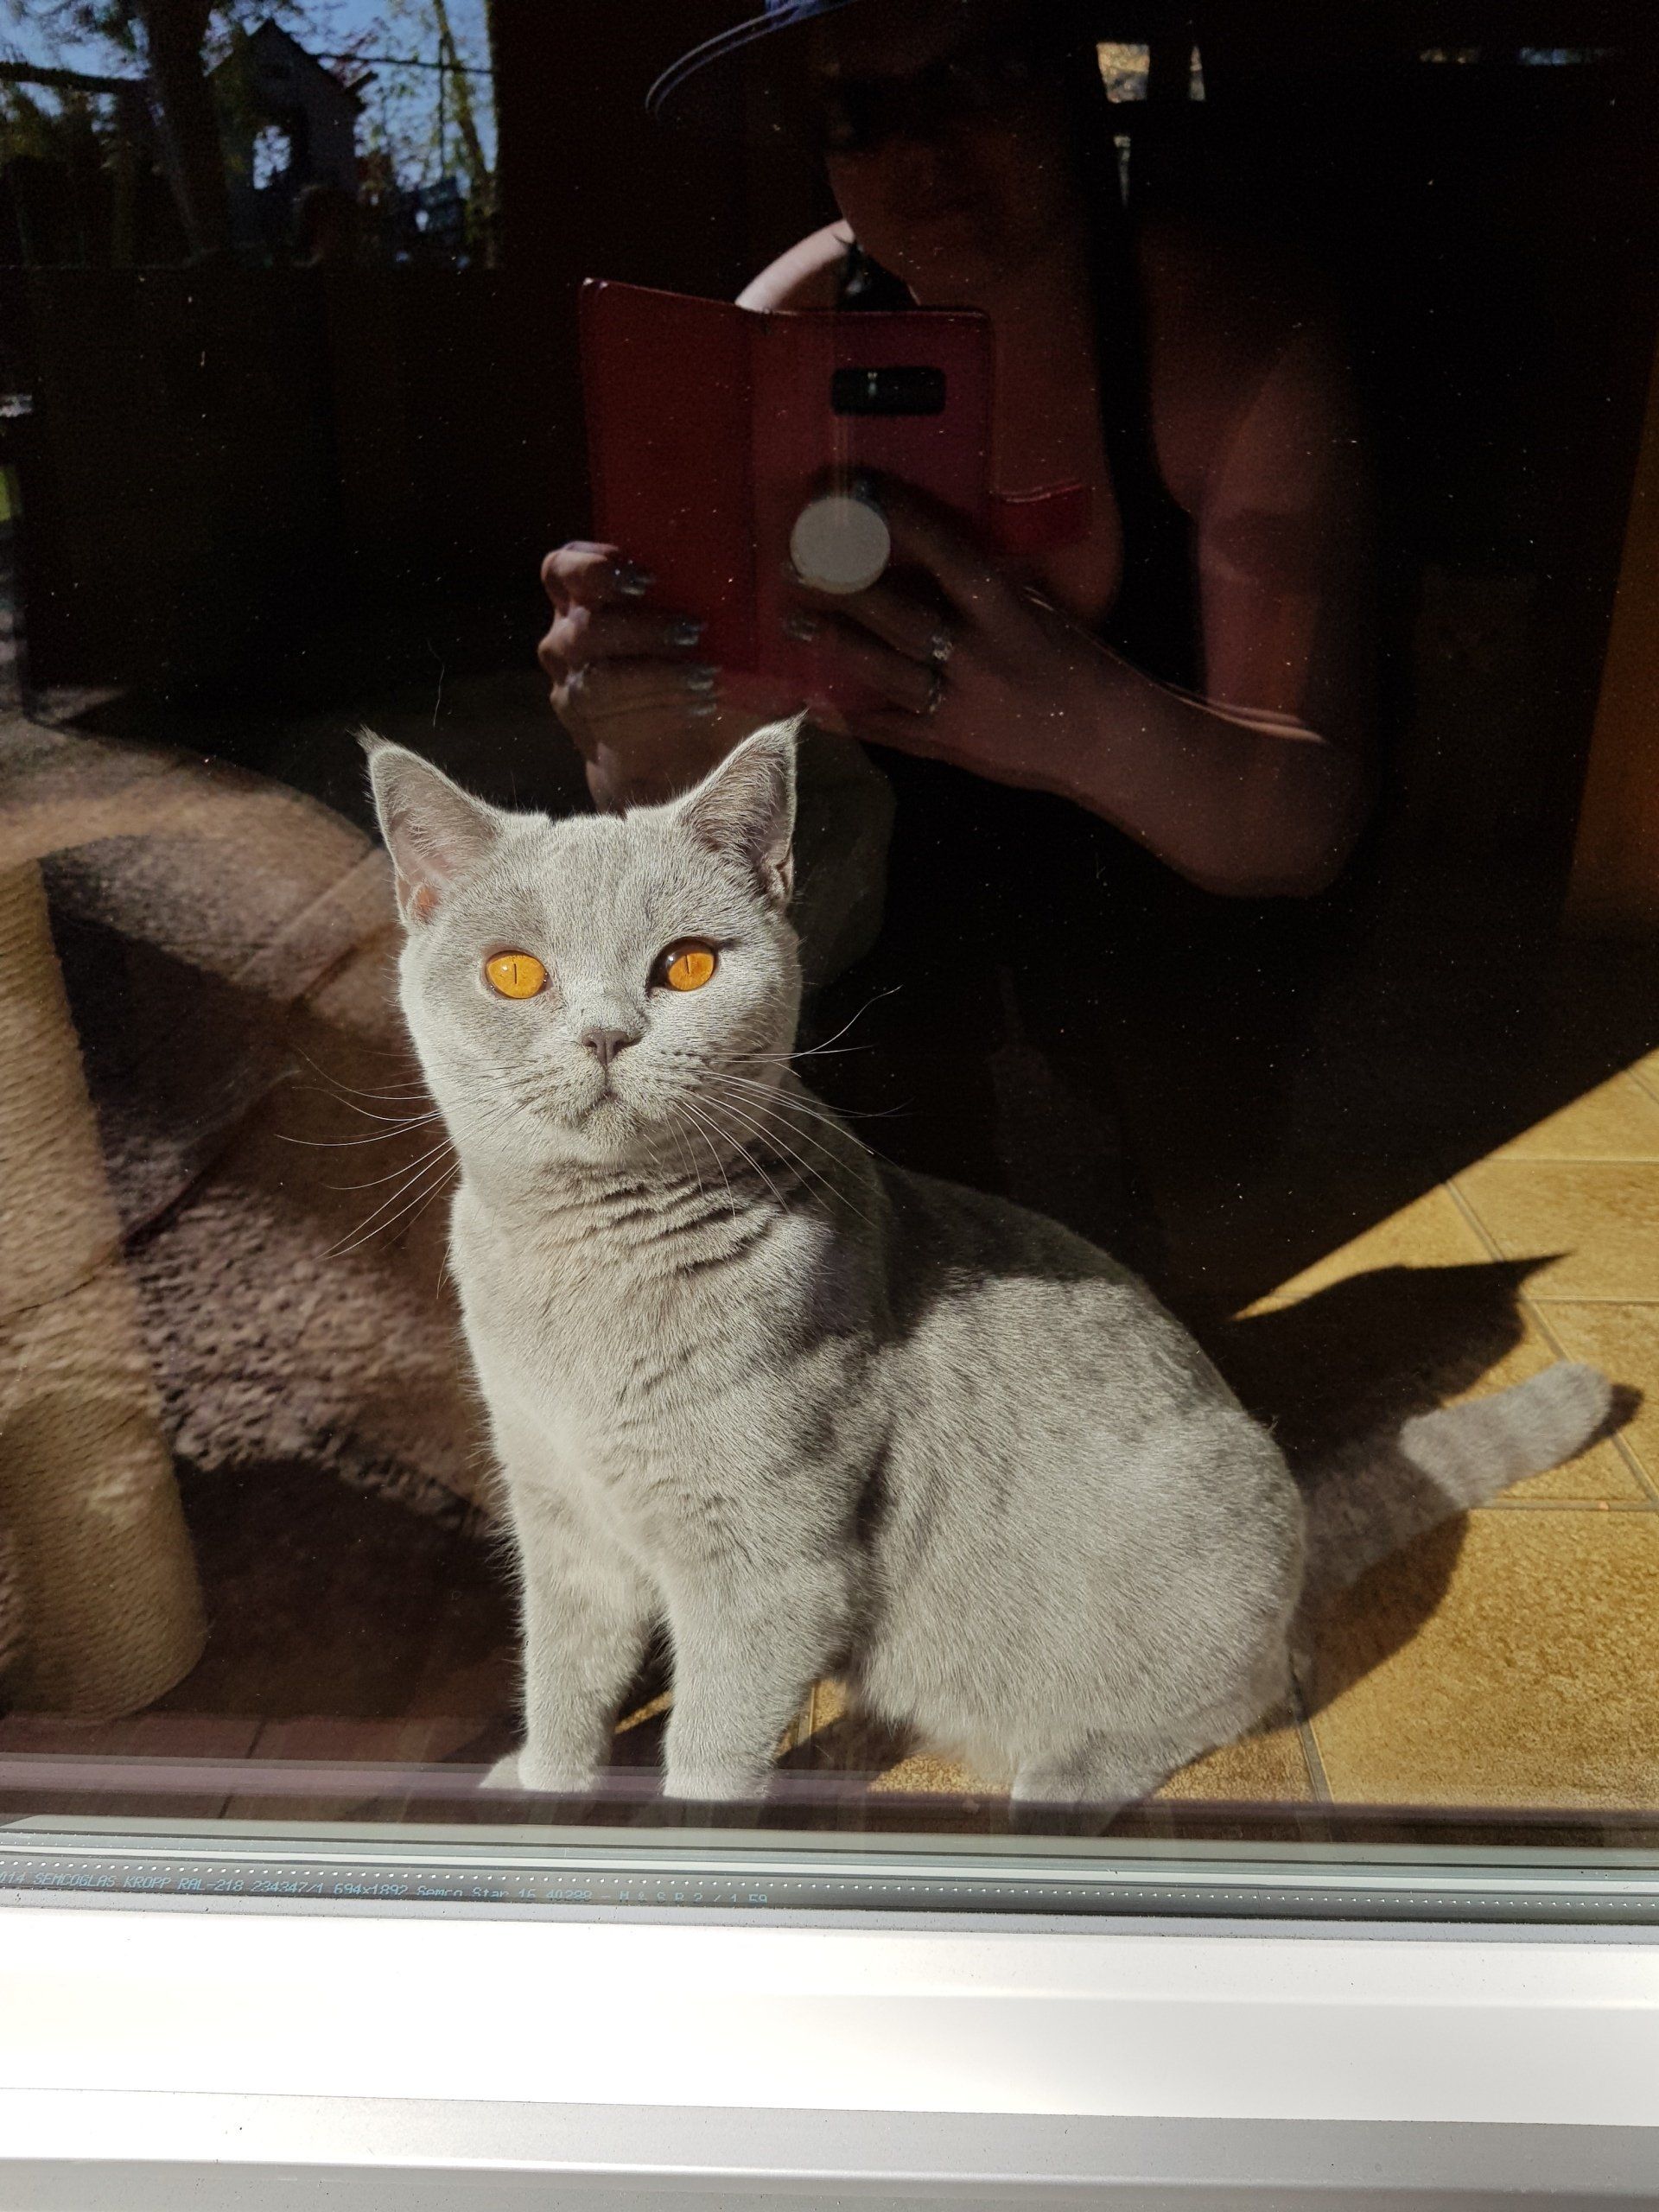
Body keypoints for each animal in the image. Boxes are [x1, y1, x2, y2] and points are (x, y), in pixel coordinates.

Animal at [367, 718, 1612, 1805]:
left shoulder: (767, 1571)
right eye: (515, 975)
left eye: (685, 967)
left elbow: (708, 1753)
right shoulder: (559, 1516)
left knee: (1245, 1693)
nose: (608, 1033)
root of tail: (1303, 1519)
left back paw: (1057, 1783)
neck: (581, 1275)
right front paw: (542, 1788)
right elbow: (562, 1682)